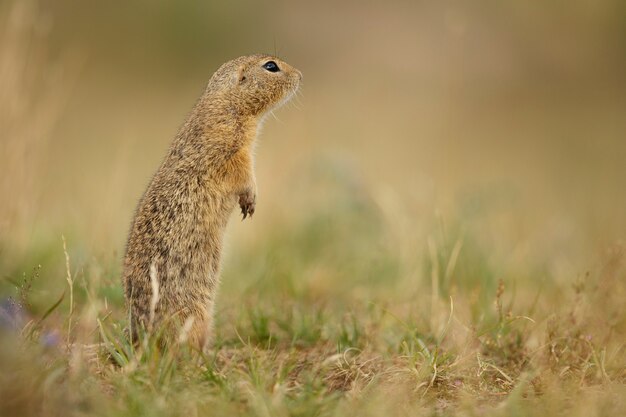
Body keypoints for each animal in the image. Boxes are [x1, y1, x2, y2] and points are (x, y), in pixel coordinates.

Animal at [121, 54, 300, 348]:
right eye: (271, 66)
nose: (300, 75)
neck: (227, 103)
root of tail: (143, 337)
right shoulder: (230, 149)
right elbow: (243, 172)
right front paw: (251, 199)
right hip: (196, 314)